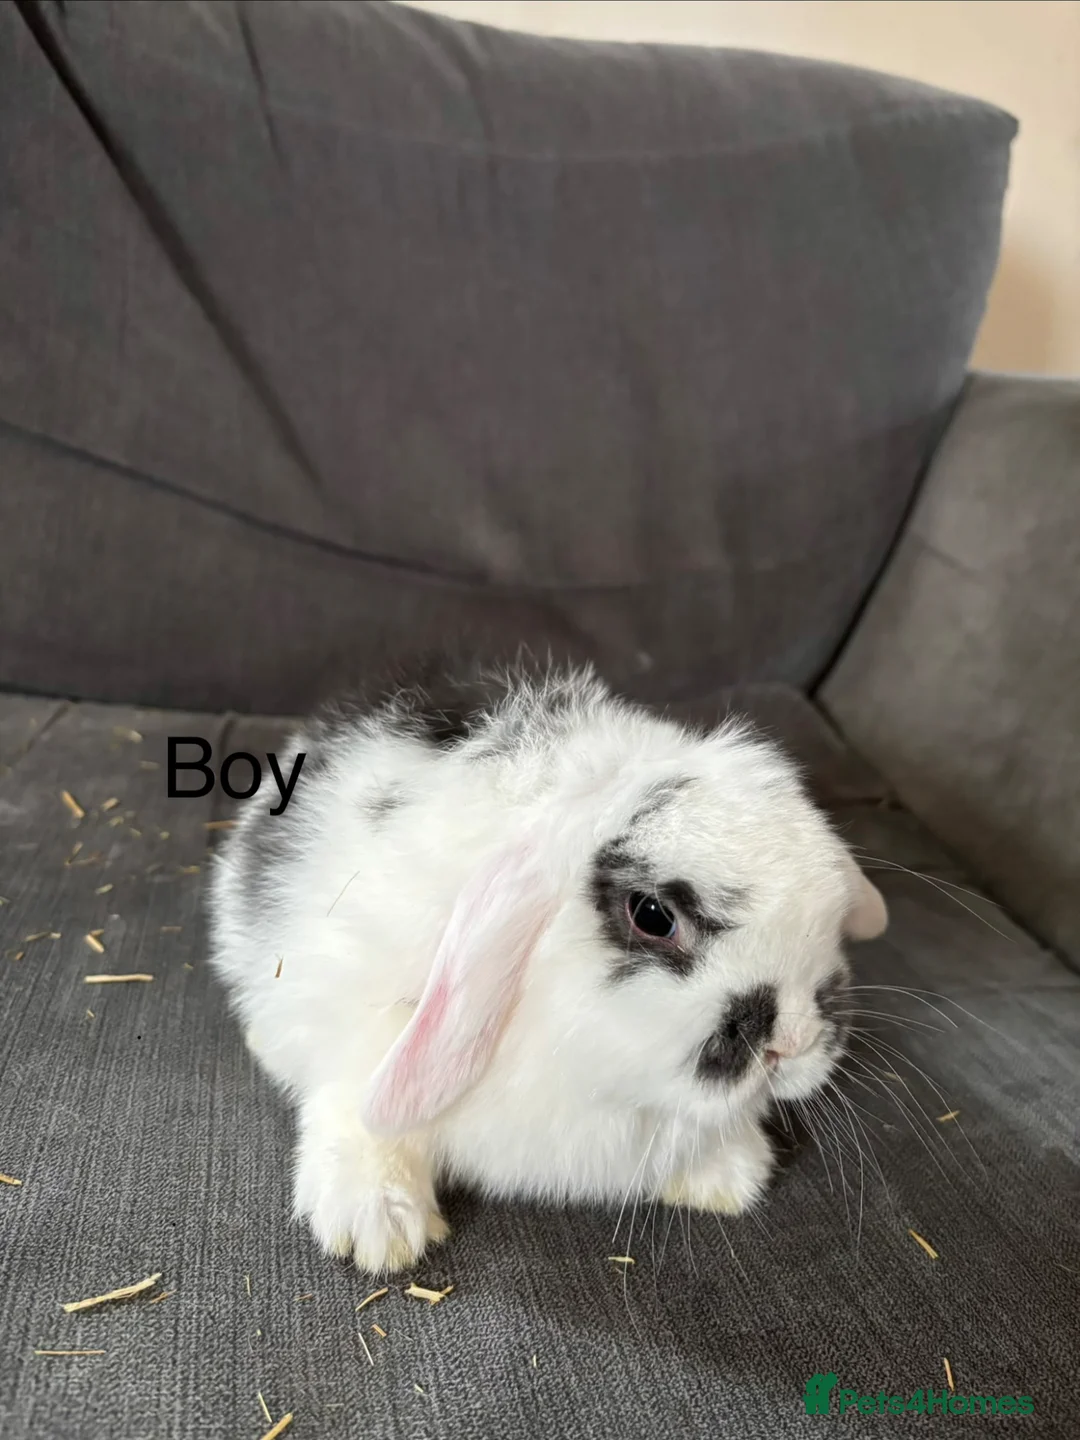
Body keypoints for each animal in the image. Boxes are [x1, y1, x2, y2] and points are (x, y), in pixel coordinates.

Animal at [207, 658, 887, 1274]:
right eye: (653, 914)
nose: (792, 1044)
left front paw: (731, 1175)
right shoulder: (362, 1035)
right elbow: (361, 1119)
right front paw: (379, 1227)